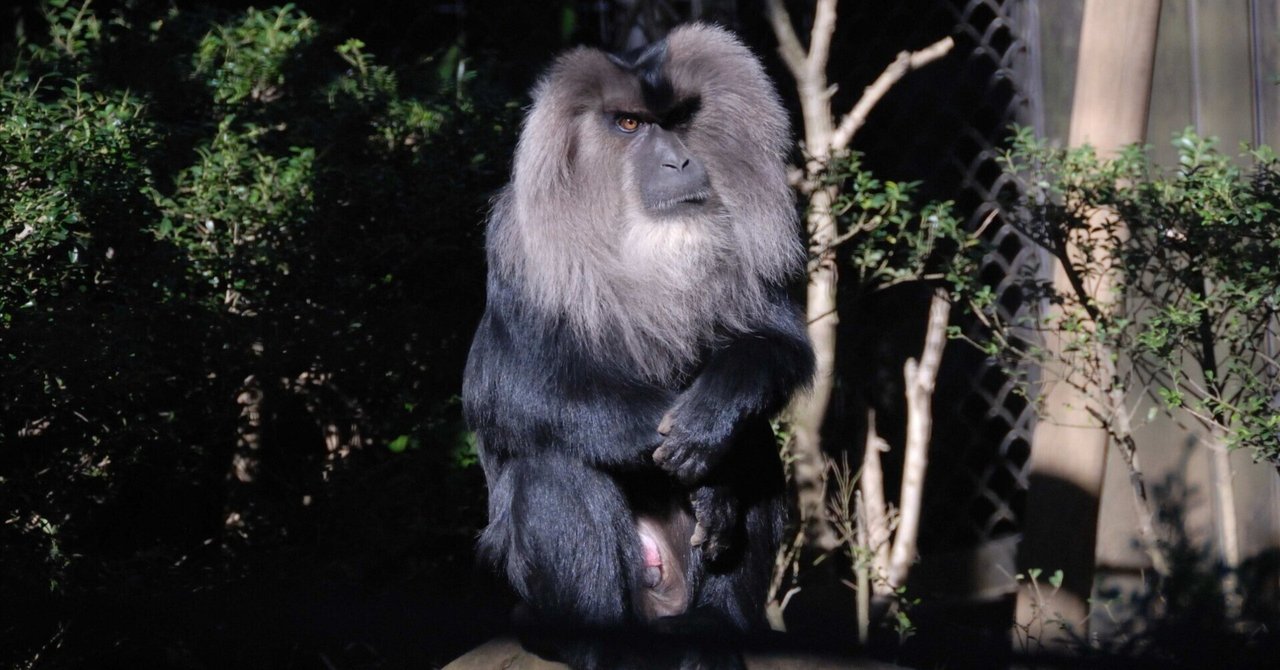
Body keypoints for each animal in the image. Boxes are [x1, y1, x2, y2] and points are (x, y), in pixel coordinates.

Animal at [462, 23, 814, 665]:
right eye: (629, 124)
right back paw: (602, 646)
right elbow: (510, 392)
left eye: (676, 119)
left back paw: (719, 624)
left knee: (754, 441)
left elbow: (777, 344)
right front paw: (704, 470)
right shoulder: (519, 250)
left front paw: (710, 422)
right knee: (550, 469)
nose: (677, 159)